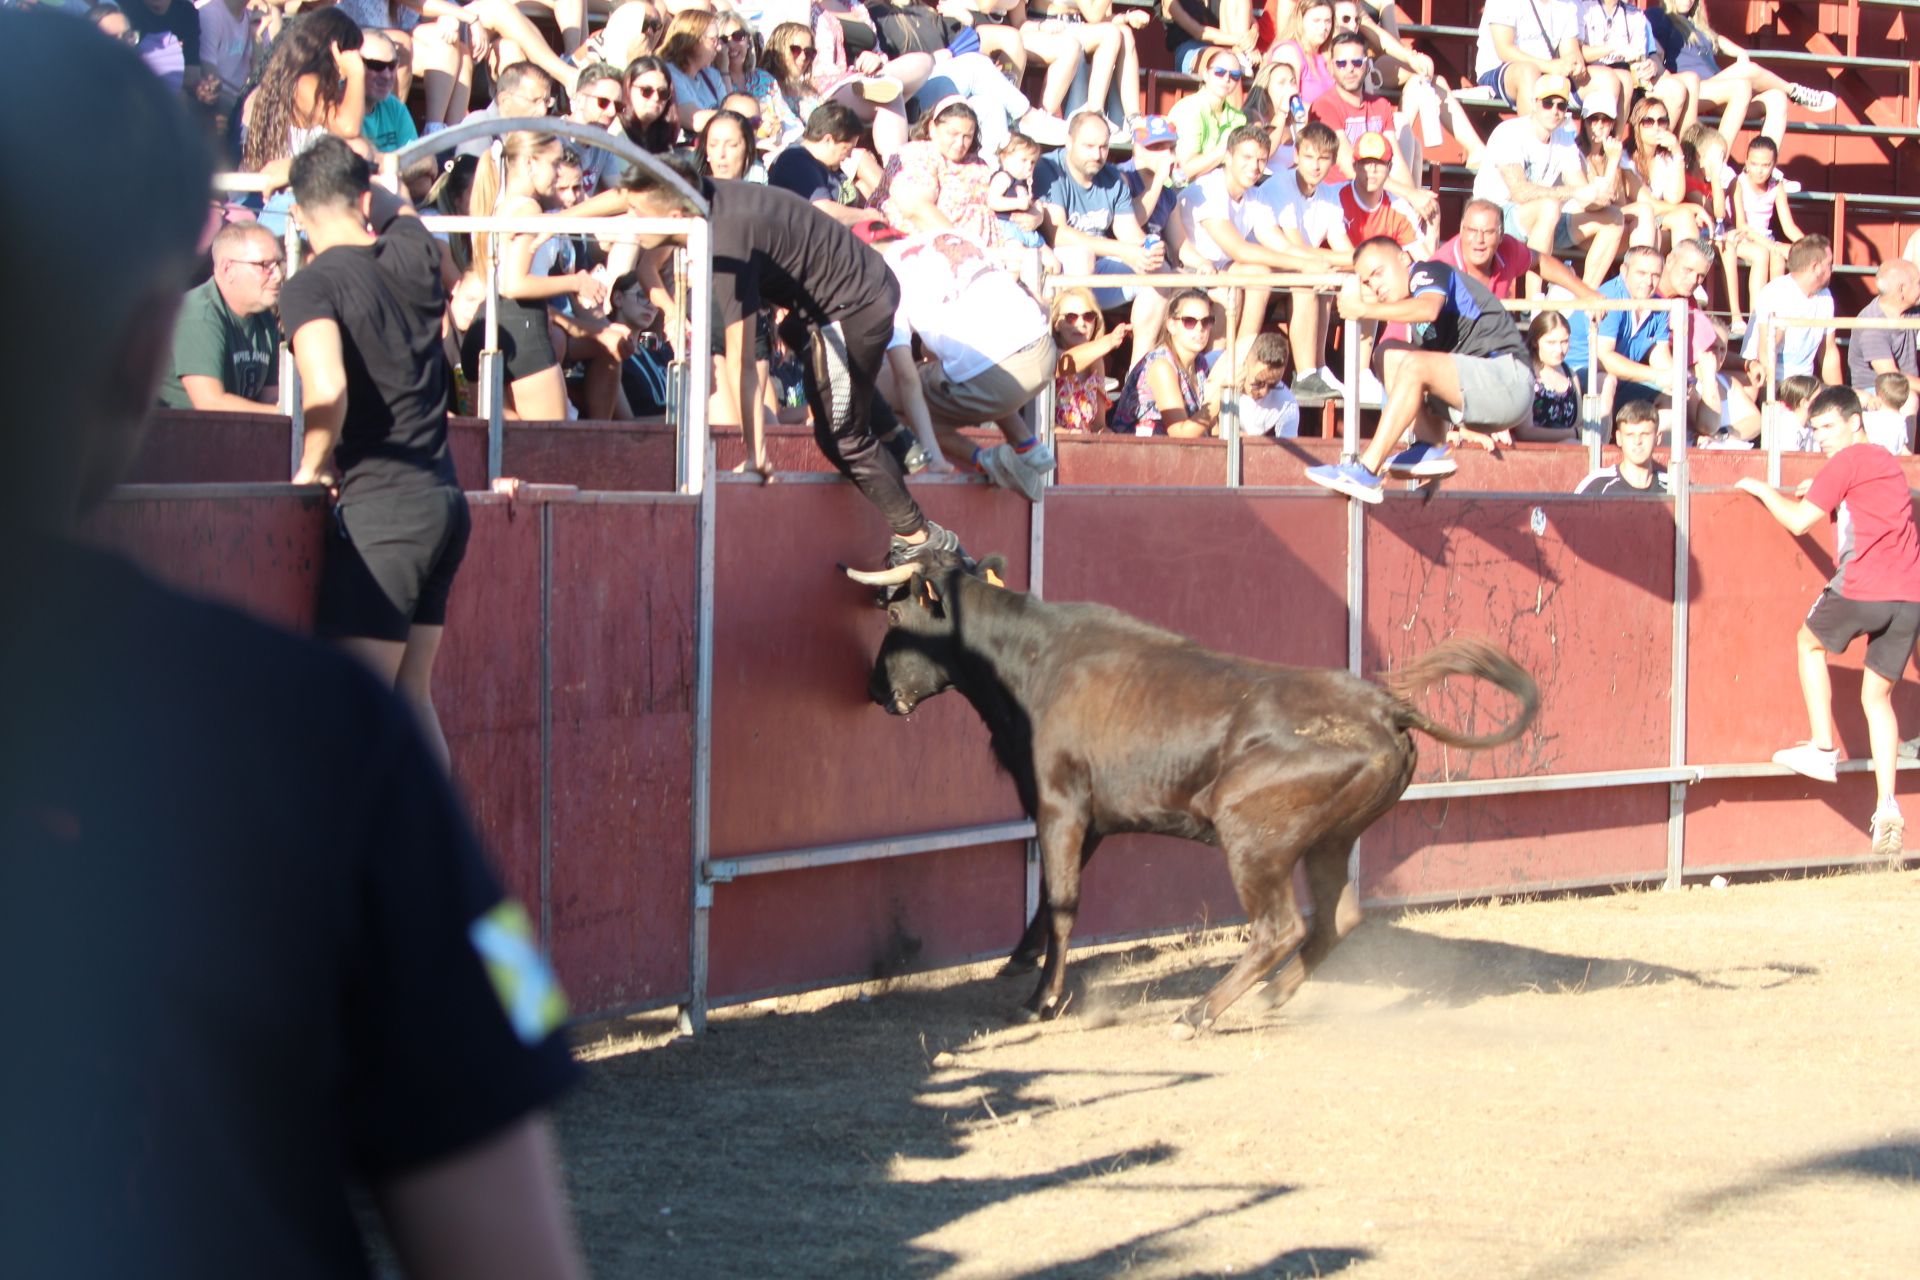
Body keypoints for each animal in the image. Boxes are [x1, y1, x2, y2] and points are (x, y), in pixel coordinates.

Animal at [848, 564, 1536, 1036]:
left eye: (895, 621)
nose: (875, 688)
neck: (1035, 661)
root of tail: (1384, 707)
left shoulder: (1060, 806)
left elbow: (1064, 904)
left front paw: (1041, 1002)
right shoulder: (1086, 822)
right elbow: (1046, 901)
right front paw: (1017, 966)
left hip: (1250, 832)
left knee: (1280, 926)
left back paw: (1198, 1011)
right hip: (1331, 838)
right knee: (1336, 918)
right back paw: (1270, 996)